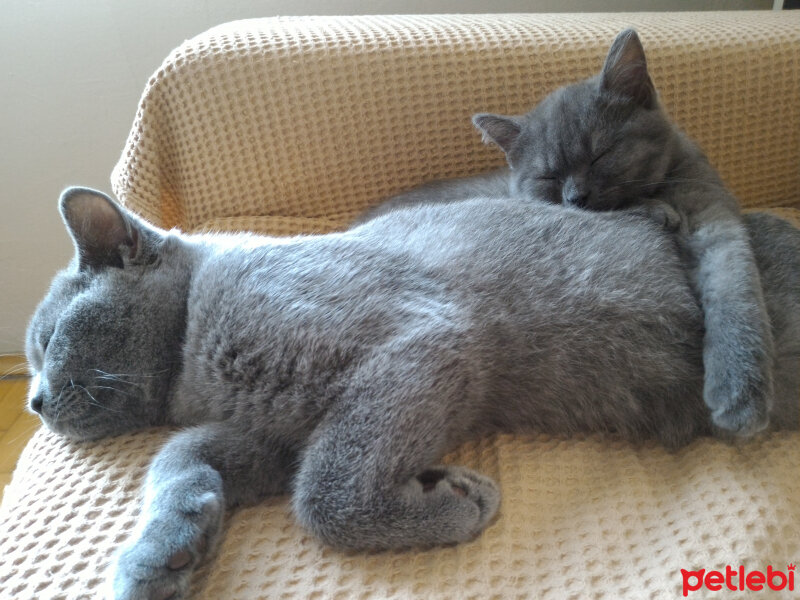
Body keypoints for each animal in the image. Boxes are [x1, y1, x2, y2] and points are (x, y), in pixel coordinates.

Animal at [360, 29, 780, 436]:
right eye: (549, 176)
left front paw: (741, 394)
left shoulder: (713, 218)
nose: (576, 196)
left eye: (600, 155)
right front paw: (659, 213)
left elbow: (737, 293)